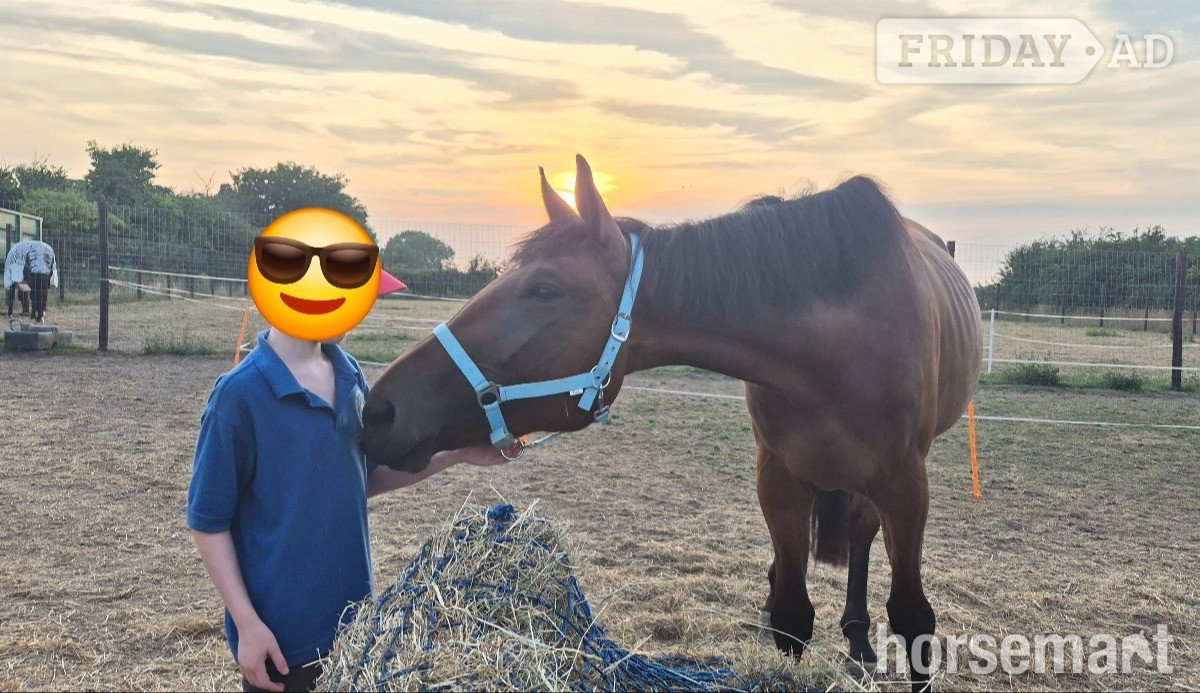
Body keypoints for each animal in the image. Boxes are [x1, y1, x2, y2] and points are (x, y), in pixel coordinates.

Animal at [361, 155, 982, 691]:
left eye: (544, 289)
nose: (379, 410)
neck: (834, 348)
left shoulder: (904, 483)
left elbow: (912, 618)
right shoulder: (779, 479)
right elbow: (791, 615)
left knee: (859, 537)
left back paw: (858, 639)